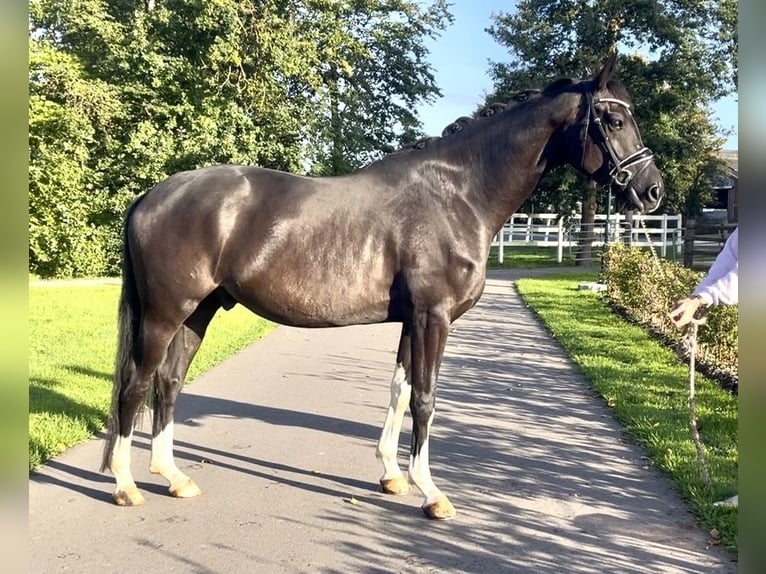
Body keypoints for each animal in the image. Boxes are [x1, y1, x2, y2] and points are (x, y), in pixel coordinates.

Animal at [101, 54, 663, 519]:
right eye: (614, 120)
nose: (652, 191)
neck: (457, 194)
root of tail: (150, 197)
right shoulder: (434, 317)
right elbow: (426, 398)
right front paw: (431, 493)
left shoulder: (413, 320)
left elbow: (400, 390)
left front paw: (392, 475)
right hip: (165, 314)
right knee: (135, 386)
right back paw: (126, 485)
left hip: (198, 311)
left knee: (169, 384)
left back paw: (173, 477)